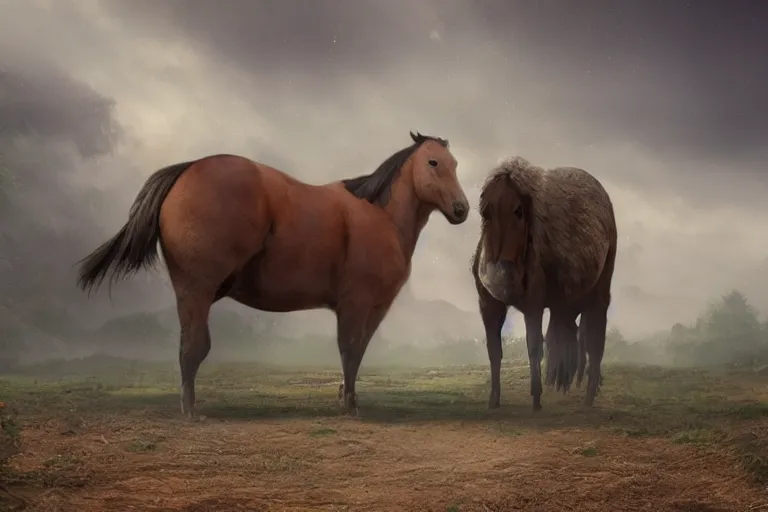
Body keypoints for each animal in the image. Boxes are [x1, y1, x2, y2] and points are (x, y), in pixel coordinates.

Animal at [76, 132, 468, 420]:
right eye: (433, 162)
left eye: (455, 164)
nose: (461, 209)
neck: (380, 215)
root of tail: (188, 169)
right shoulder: (355, 303)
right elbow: (350, 350)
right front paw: (349, 406)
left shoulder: (375, 307)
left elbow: (356, 353)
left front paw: (347, 398)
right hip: (196, 291)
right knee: (193, 348)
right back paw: (191, 412)